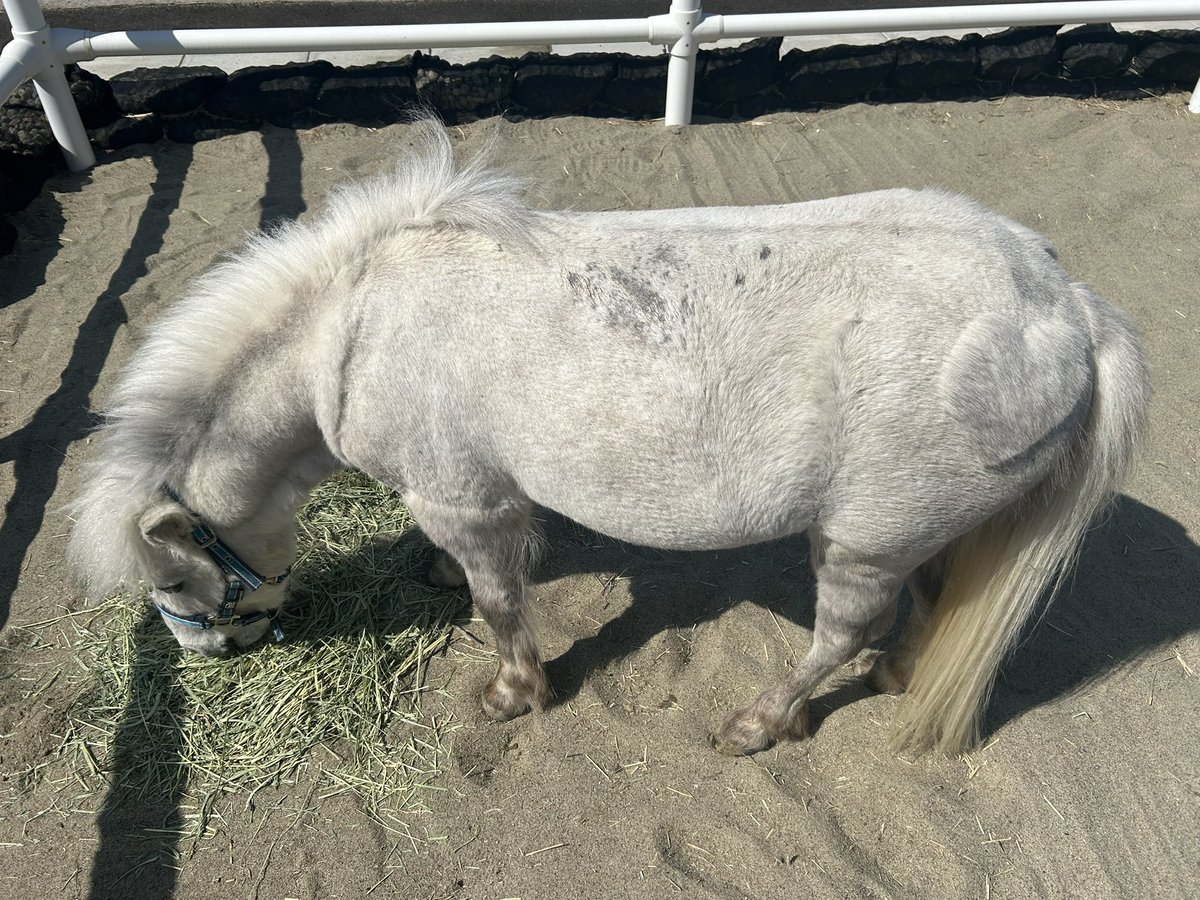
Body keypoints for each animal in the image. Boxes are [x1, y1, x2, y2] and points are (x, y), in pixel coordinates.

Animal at [68, 121, 1150, 756]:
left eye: (175, 583)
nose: (212, 655)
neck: (351, 329)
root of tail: (1066, 305)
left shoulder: (469, 500)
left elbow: (501, 605)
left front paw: (515, 693)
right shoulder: (469, 495)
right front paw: (437, 578)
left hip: (863, 539)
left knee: (842, 631)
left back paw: (765, 720)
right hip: (916, 526)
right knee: (928, 599)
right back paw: (894, 676)